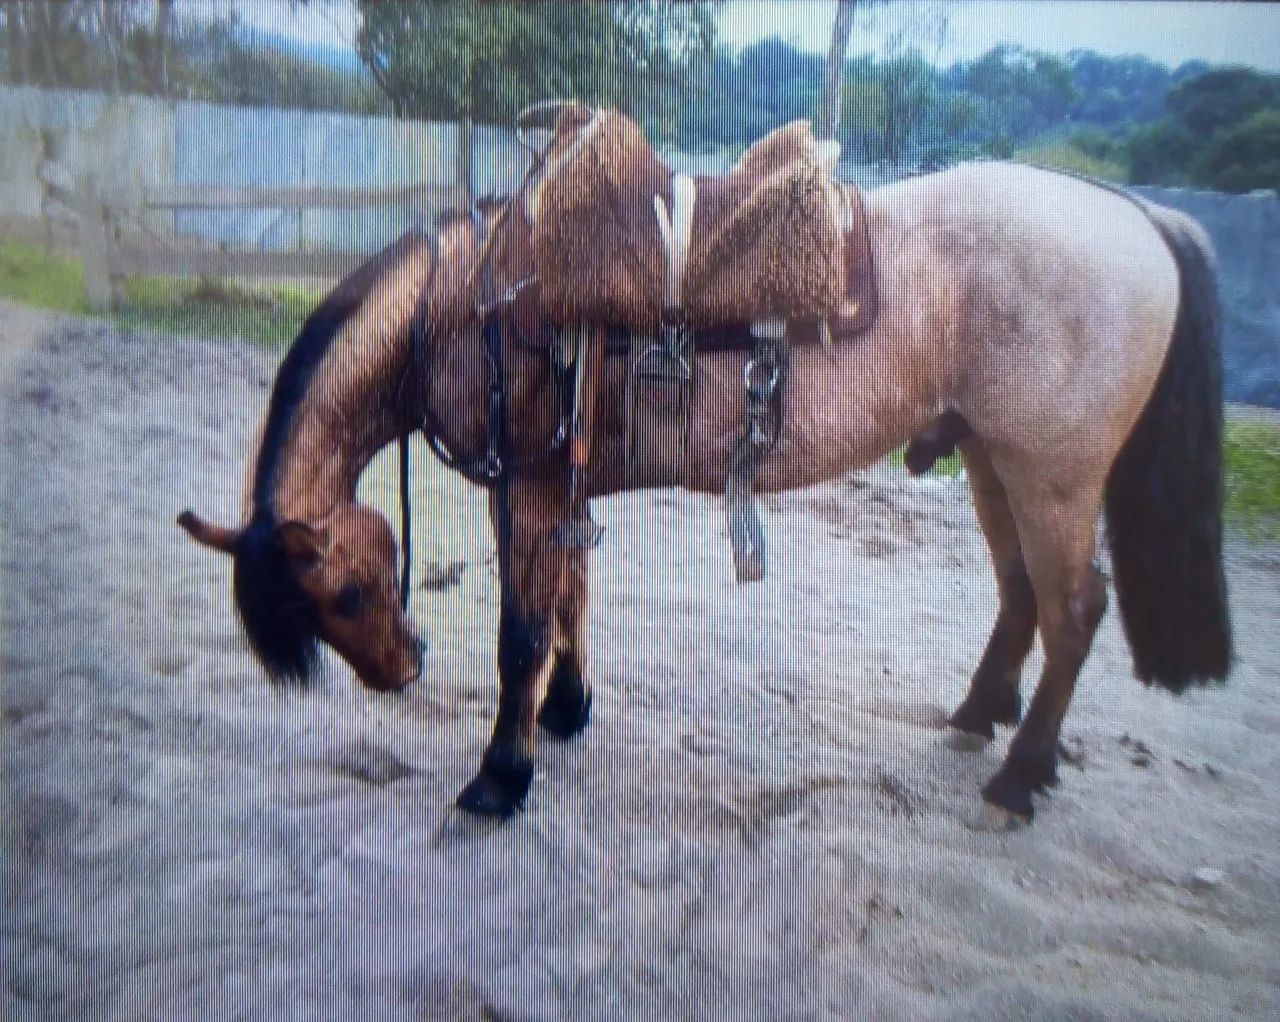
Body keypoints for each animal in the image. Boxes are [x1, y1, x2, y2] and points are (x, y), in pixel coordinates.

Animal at [179, 109, 1231, 825]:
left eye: (345, 594)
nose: (402, 670)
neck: (469, 307)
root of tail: (1133, 213)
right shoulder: (561, 485)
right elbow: (571, 599)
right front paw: (567, 712)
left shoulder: (525, 484)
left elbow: (524, 629)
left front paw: (500, 777)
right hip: (990, 461)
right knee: (1023, 597)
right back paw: (981, 716)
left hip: (1049, 476)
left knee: (1074, 610)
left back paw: (1020, 773)